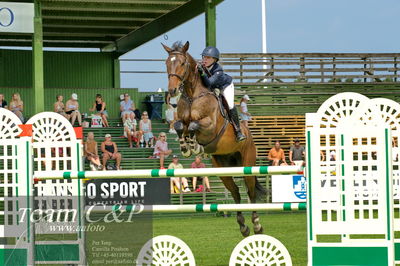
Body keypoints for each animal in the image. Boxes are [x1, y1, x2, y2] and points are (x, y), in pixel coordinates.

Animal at [162, 40, 266, 236]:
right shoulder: (179, 121)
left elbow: (194, 125)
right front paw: (186, 146)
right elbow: (180, 126)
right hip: (223, 167)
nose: (172, 90)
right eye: (166, 63)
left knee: (250, 192)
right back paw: (243, 226)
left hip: (247, 163)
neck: (192, 94)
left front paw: (194, 145)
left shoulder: (210, 126)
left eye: (182, 63)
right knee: (236, 192)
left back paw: (257, 224)